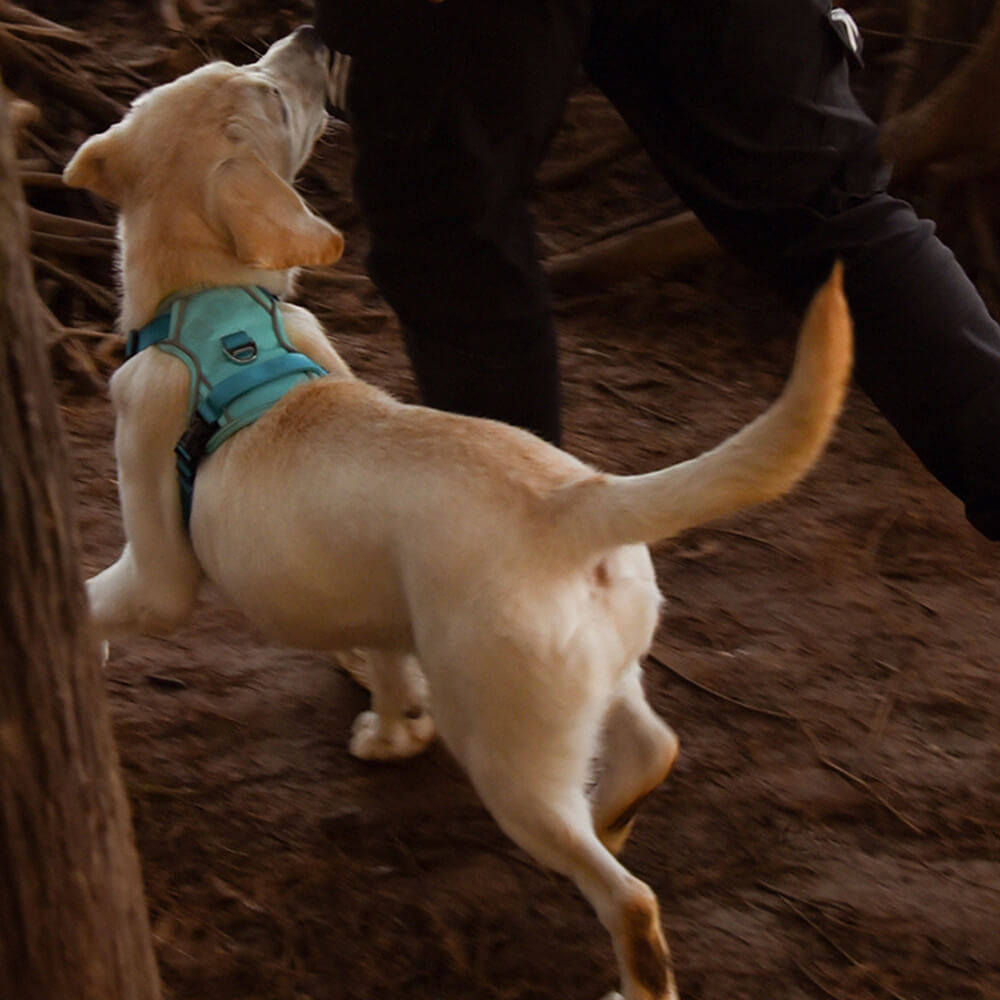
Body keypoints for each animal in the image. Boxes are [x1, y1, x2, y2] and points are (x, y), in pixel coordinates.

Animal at [66, 25, 856, 1000]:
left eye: (273, 95)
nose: (314, 34)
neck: (212, 306)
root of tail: (577, 504)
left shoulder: (159, 570)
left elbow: (95, 593)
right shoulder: (379, 605)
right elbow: (387, 662)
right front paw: (391, 731)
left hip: (510, 754)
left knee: (629, 897)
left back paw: (629, 963)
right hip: (592, 677)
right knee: (656, 747)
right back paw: (617, 808)